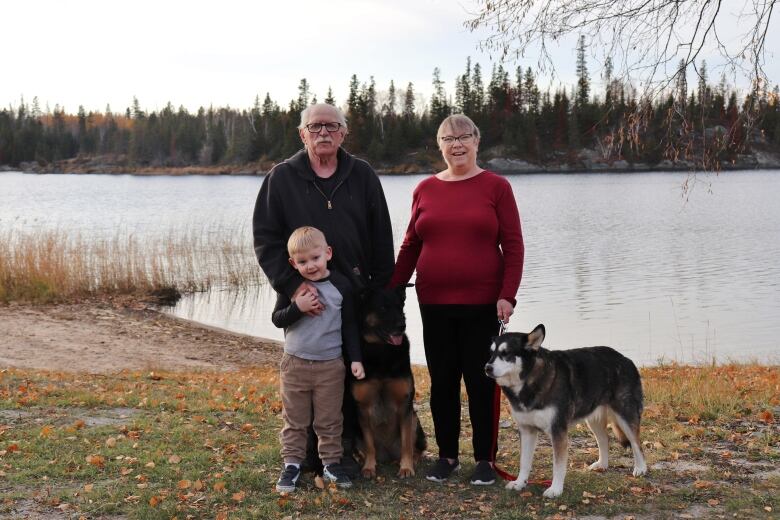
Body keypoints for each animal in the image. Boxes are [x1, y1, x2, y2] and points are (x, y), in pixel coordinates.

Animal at [352, 286, 426, 478]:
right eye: (383, 308)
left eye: (400, 307)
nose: (402, 325)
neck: (382, 350)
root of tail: (387, 455)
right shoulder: (363, 409)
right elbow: (369, 445)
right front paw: (369, 467)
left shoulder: (405, 407)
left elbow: (407, 443)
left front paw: (406, 467)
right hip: (356, 432)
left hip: (415, 421)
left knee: (416, 447)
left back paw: (413, 460)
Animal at [488, 322, 644, 498]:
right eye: (491, 353)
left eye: (506, 353)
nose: (487, 368)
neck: (530, 380)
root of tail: (626, 359)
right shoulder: (527, 430)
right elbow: (524, 462)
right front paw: (520, 483)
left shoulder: (558, 430)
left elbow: (558, 466)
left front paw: (555, 489)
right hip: (594, 419)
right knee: (605, 440)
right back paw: (602, 464)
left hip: (625, 415)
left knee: (636, 443)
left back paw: (640, 468)